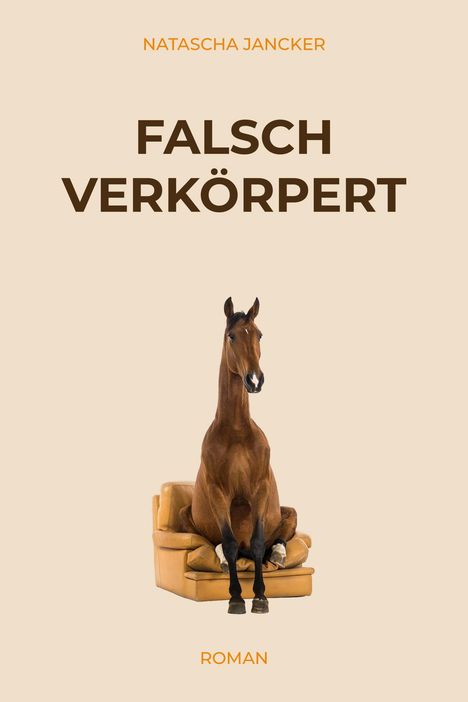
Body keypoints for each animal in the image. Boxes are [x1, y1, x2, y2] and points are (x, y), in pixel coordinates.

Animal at [179, 297, 297, 614]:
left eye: (259, 334)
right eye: (231, 336)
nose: (254, 380)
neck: (236, 430)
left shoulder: (260, 490)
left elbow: (257, 543)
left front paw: (260, 596)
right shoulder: (218, 493)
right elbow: (230, 542)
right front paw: (235, 598)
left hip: (288, 512)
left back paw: (278, 555)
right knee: (216, 543)